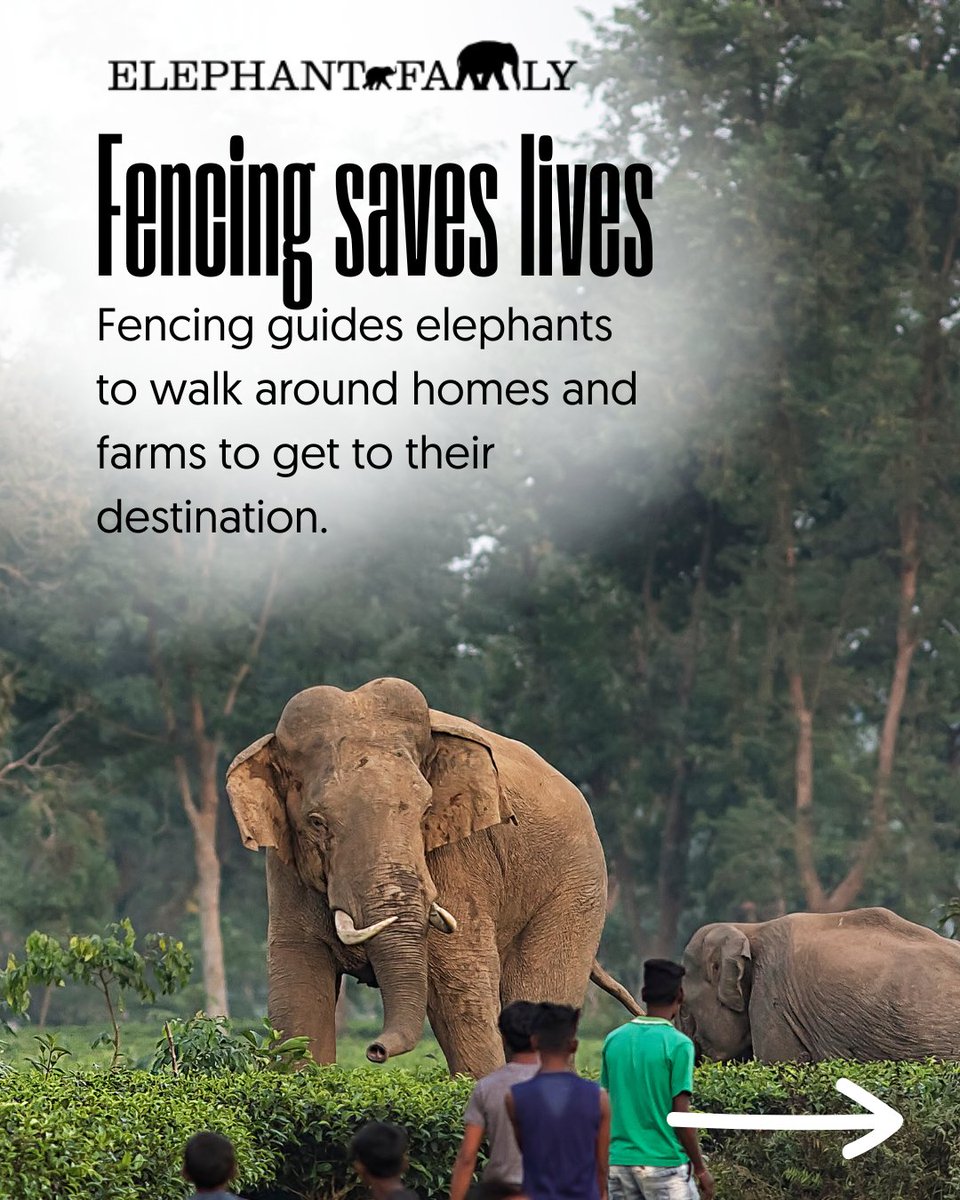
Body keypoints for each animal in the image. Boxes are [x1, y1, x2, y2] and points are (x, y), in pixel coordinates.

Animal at [226, 677, 640, 1076]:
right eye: (316, 822)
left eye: (426, 810)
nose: (375, 1051)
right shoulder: (285, 871)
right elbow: (298, 997)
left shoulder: (460, 857)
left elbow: (459, 988)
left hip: (576, 887)